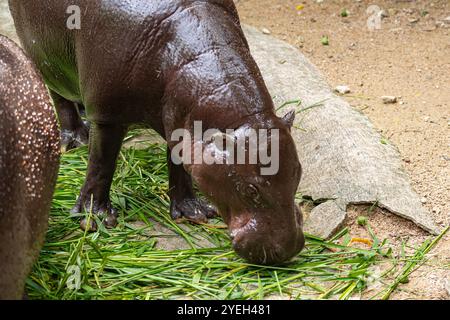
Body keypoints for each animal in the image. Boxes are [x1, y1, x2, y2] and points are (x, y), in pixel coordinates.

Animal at [10, 0, 304, 264]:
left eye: (298, 173)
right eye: (250, 189)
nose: (289, 248)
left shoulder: (181, 125)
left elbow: (180, 165)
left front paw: (193, 212)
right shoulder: (107, 115)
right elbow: (101, 165)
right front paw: (95, 219)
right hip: (42, 52)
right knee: (57, 93)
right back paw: (75, 140)